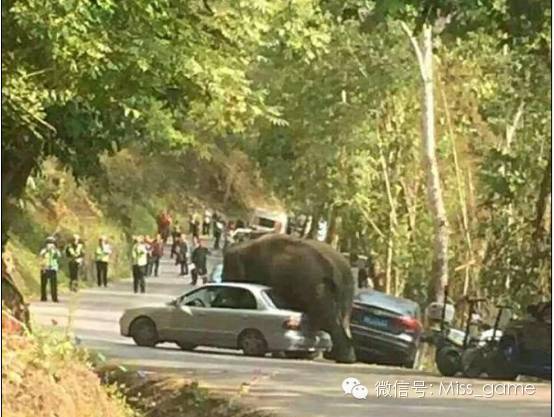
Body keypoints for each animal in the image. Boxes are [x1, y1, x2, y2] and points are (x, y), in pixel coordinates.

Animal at [220, 232, 354, 362]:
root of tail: (336, 270)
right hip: (343, 292)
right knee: (339, 318)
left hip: (318, 288)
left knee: (327, 317)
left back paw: (343, 358)